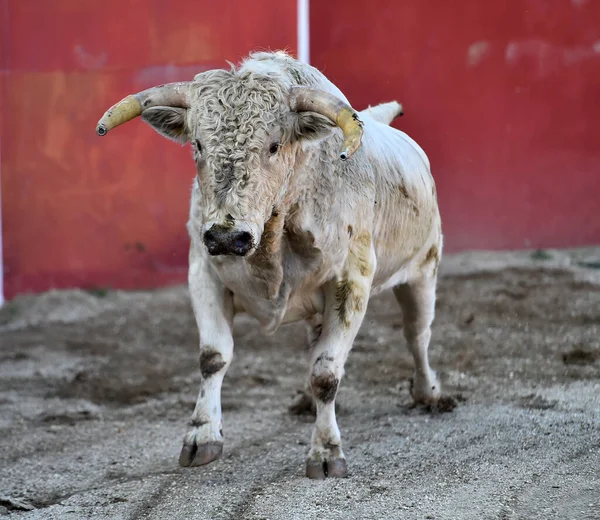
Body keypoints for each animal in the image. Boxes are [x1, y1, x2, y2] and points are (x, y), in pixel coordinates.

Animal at [96, 50, 458, 478]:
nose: (226, 237)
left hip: (424, 270)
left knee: (417, 334)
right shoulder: (204, 273)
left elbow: (326, 372)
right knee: (316, 343)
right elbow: (213, 357)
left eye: (273, 146)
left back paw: (428, 393)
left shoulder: (352, 282)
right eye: (198, 144)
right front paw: (202, 437)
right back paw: (306, 401)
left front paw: (326, 452)